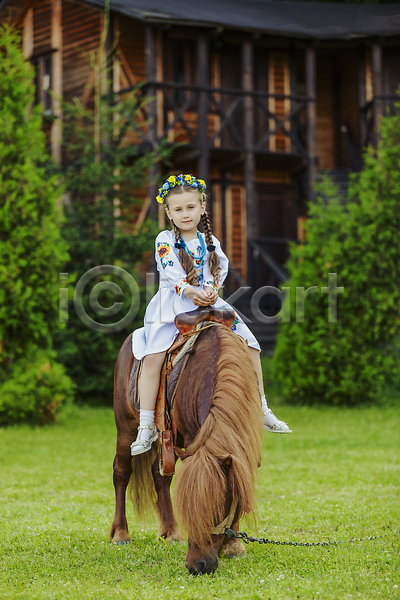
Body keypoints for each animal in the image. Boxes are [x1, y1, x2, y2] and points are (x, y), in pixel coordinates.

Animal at [111, 322, 264, 576]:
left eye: (217, 509)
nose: (197, 565)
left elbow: (239, 485)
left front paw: (234, 545)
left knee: (159, 476)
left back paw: (171, 532)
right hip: (126, 427)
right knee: (121, 473)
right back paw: (121, 533)